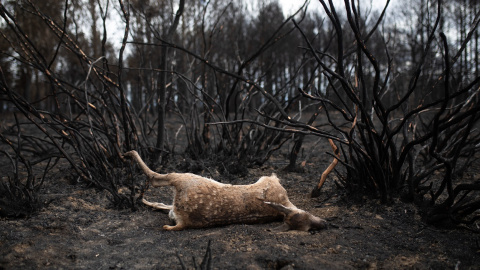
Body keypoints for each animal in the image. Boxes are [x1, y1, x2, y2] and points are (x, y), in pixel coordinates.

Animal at [124, 151, 326, 231]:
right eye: (308, 225)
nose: (324, 223)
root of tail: (183, 222)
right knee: (163, 199)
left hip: (187, 179)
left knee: (155, 178)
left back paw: (129, 155)